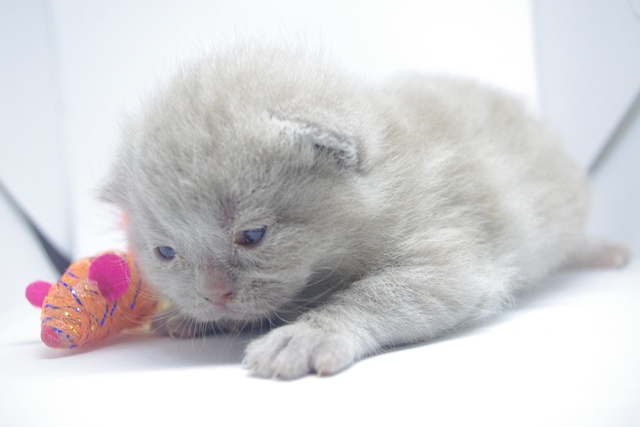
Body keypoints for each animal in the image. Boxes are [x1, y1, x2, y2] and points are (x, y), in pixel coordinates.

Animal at [100, 44, 628, 379]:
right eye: (166, 252)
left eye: (252, 235)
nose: (214, 295)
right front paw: (193, 317)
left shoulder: (452, 258)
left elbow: (376, 295)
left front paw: (307, 335)